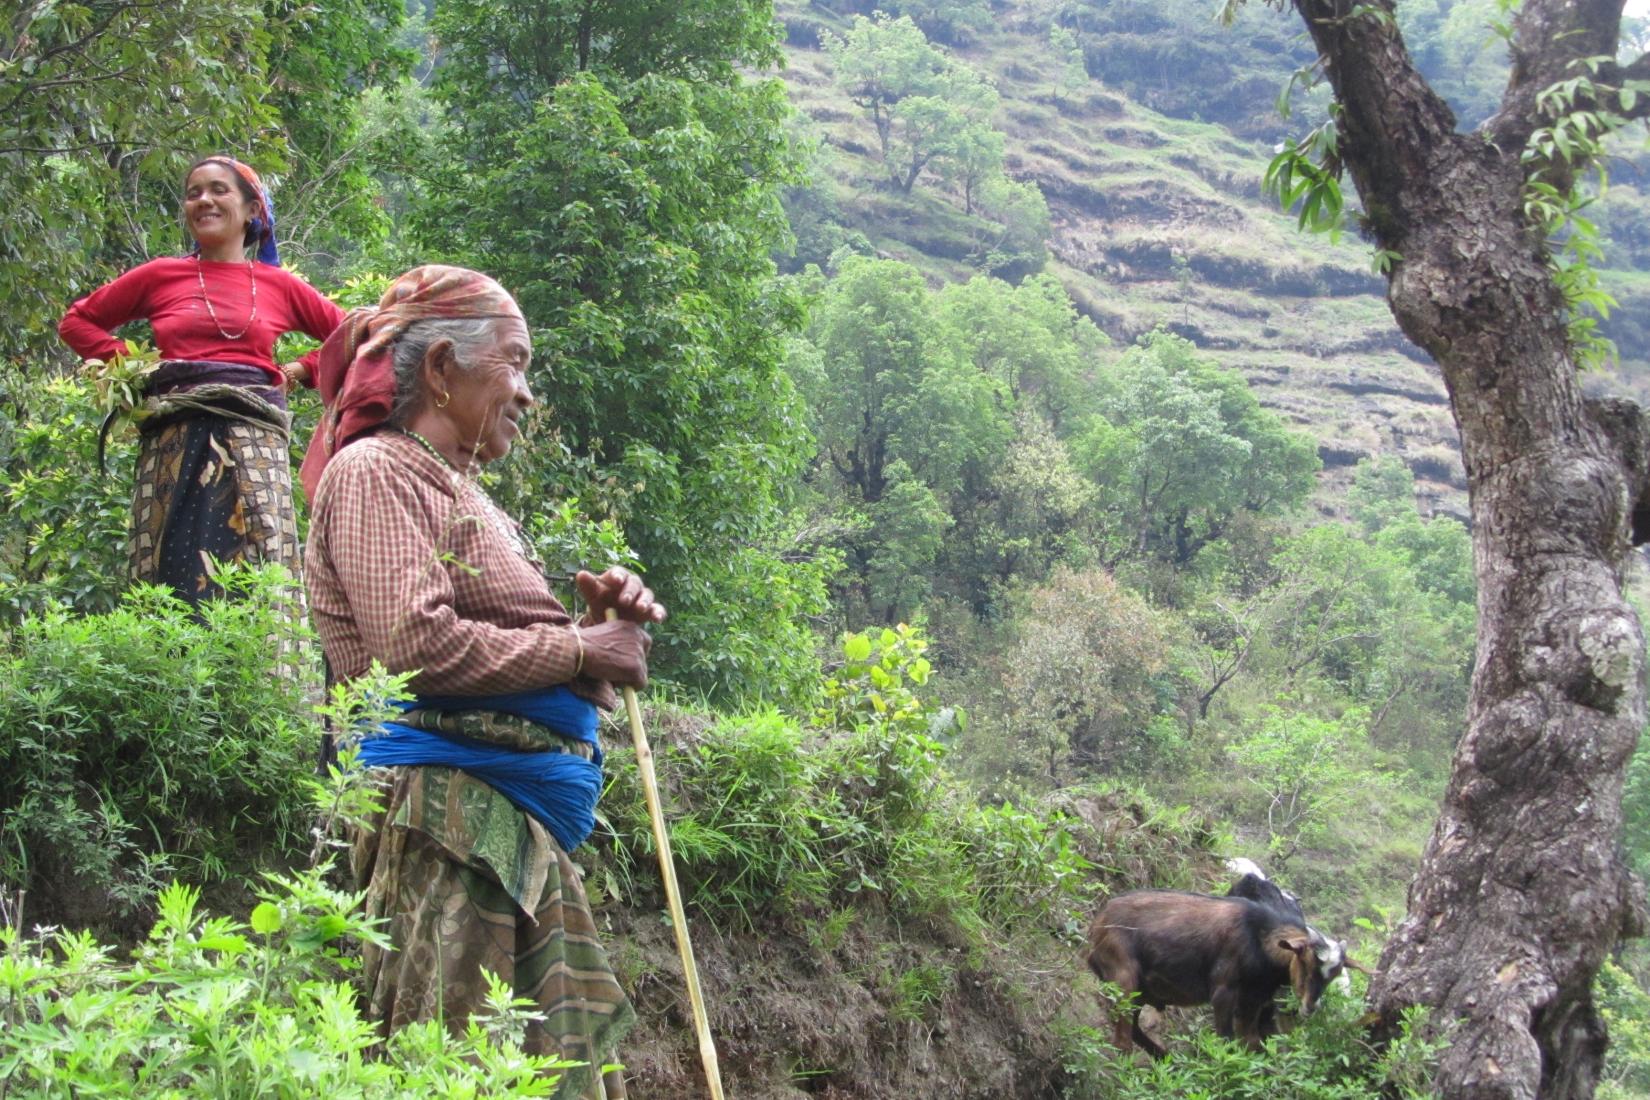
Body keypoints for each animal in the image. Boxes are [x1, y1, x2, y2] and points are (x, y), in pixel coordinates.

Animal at [1089, 883, 1346, 1055]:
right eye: (1306, 961)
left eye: (1332, 976)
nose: (1311, 1006)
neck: (1259, 936)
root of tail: (1098, 922)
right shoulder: (1224, 991)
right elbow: (1226, 1037)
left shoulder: (1253, 1001)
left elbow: (1251, 1041)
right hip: (1123, 974)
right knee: (1122, 1029)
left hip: (1142, 990)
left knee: (1133, 1026)